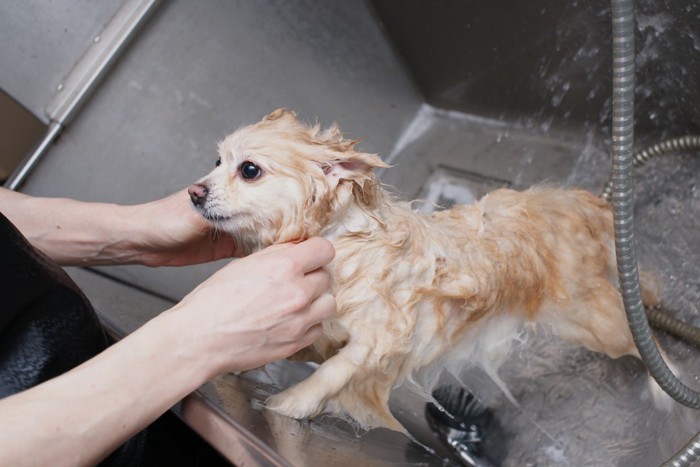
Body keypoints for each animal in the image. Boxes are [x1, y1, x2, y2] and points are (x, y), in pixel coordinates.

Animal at [187, 109, 668, 432]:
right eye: (216, 162)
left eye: (249, 170)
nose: (193, 192)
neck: (344, 243)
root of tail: (572, 203)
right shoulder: (313, 324)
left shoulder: (379, 339)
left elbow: (333, 371)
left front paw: (293, 401)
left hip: (591, 323)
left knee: (642, 341)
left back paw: (664, 388)